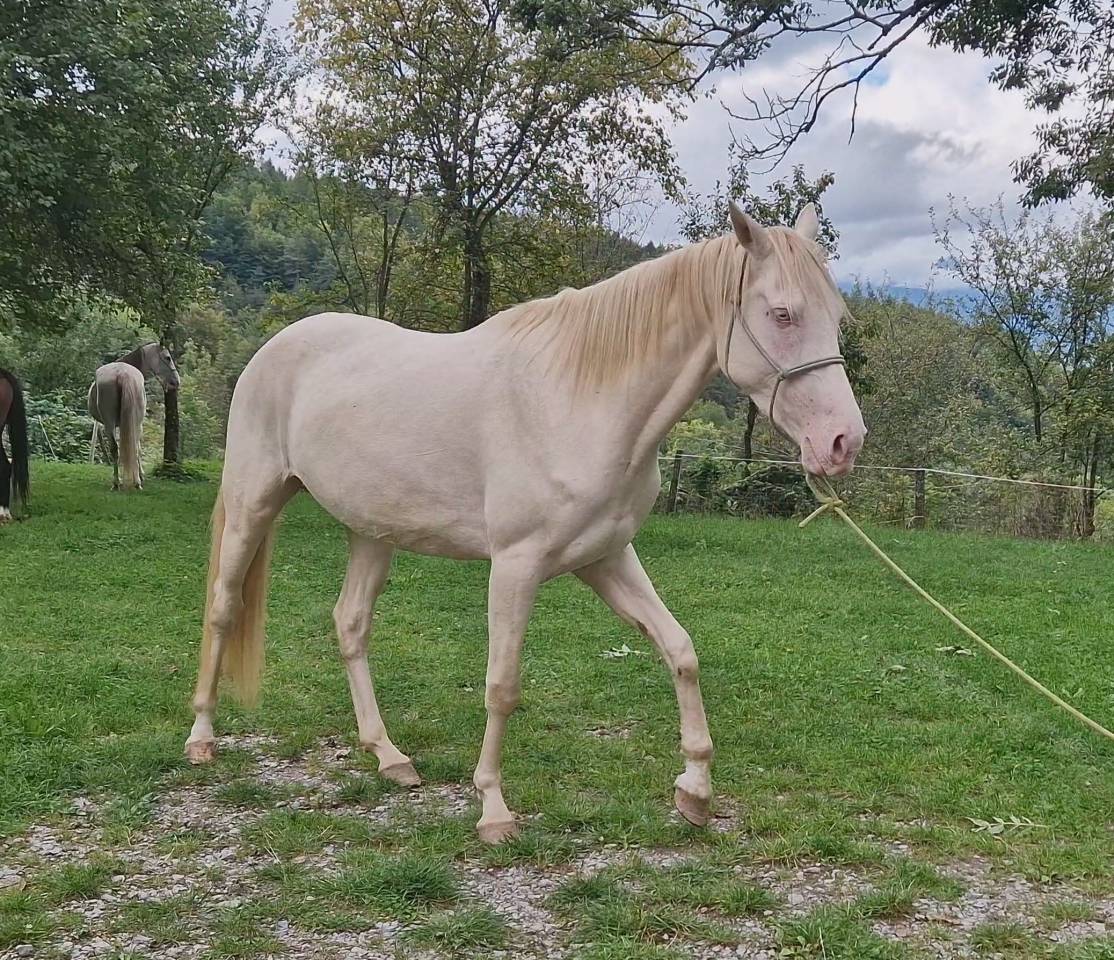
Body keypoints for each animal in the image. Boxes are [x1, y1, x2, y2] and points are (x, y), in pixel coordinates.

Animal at [88, 343, 180, 490]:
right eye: (167, 357)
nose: (176, 381)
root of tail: (122, 374)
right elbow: (138, 448)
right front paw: (141, 475)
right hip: (130, 422)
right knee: (131, 448)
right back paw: (132, 482)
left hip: (112, 423)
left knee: (116, 449)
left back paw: (118, 482)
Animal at [184, 203, 866, 843]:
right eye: (782, 314)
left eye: (834, 316)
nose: (844, 441)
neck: (579, 398)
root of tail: (274, 349)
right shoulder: (516, 566)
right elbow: (502, 684)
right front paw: (492, 808)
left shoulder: (606, 557)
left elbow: (680, 651)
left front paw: (694, 790)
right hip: (253, 504)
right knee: (222, 608)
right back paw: (201, 737)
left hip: (373, 532)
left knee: (350, 625)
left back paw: (388, 756)